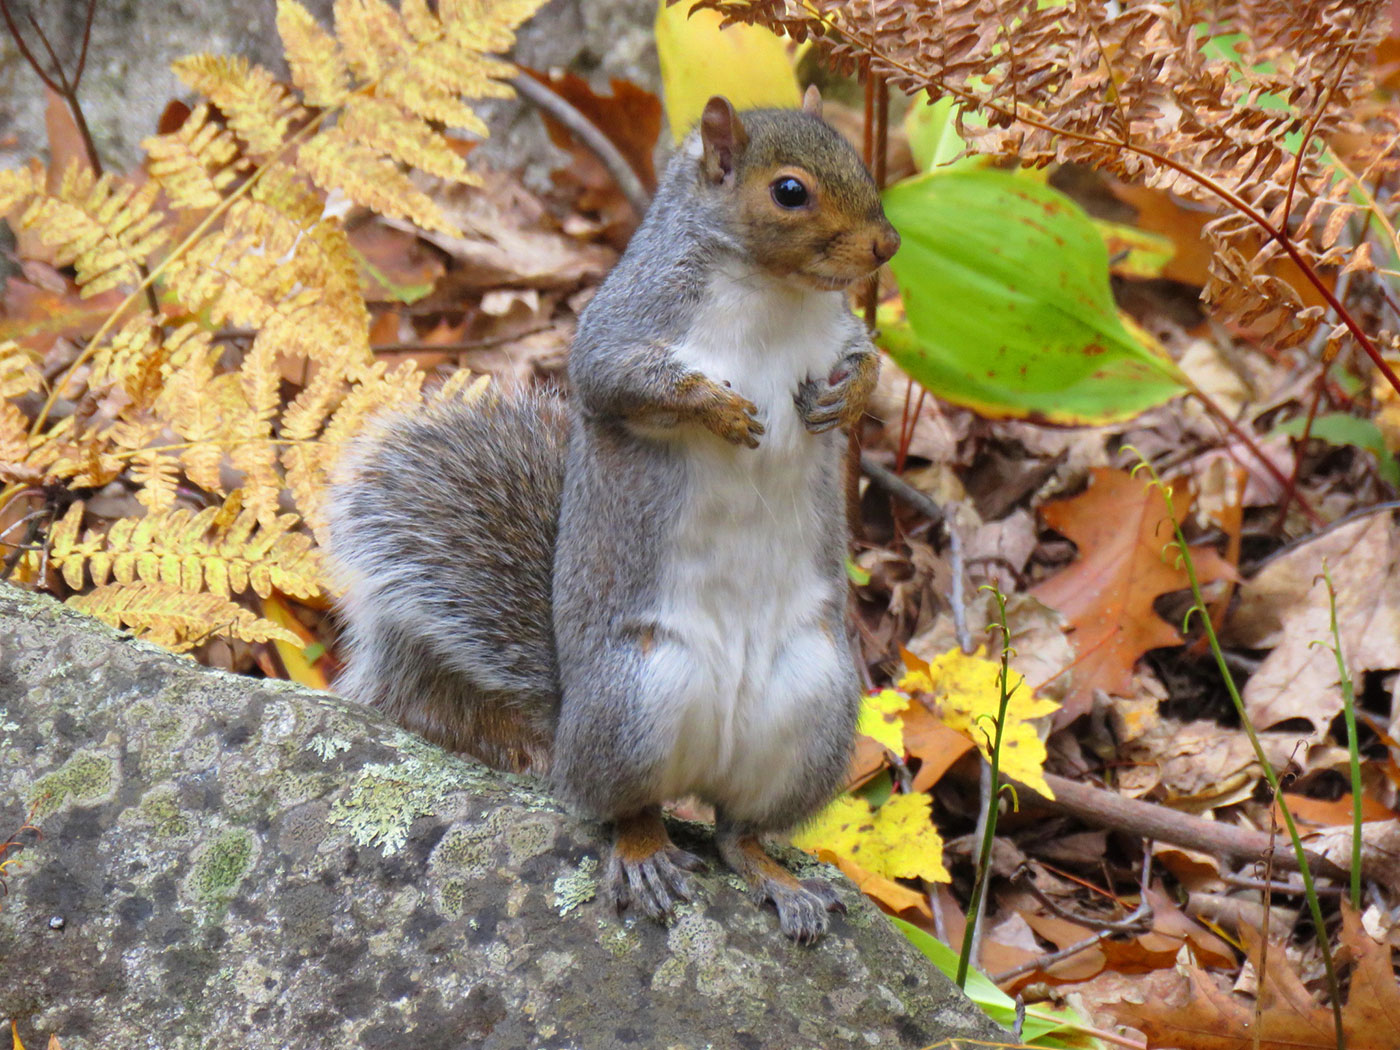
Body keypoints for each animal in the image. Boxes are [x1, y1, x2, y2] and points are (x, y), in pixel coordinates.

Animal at [324, 92, 896, 946]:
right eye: (790, 191)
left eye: (855, 155)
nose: (888, 244)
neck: (774, 292)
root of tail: (564, 734)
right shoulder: (625, 324)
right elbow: (612, 376)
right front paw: (718, 408)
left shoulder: (836, 330)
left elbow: (866, 362)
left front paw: (850, 397)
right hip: (636, 699)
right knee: (621, 806)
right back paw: (644, 853)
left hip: (815, 709)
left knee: (736, 830)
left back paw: (777, 878)